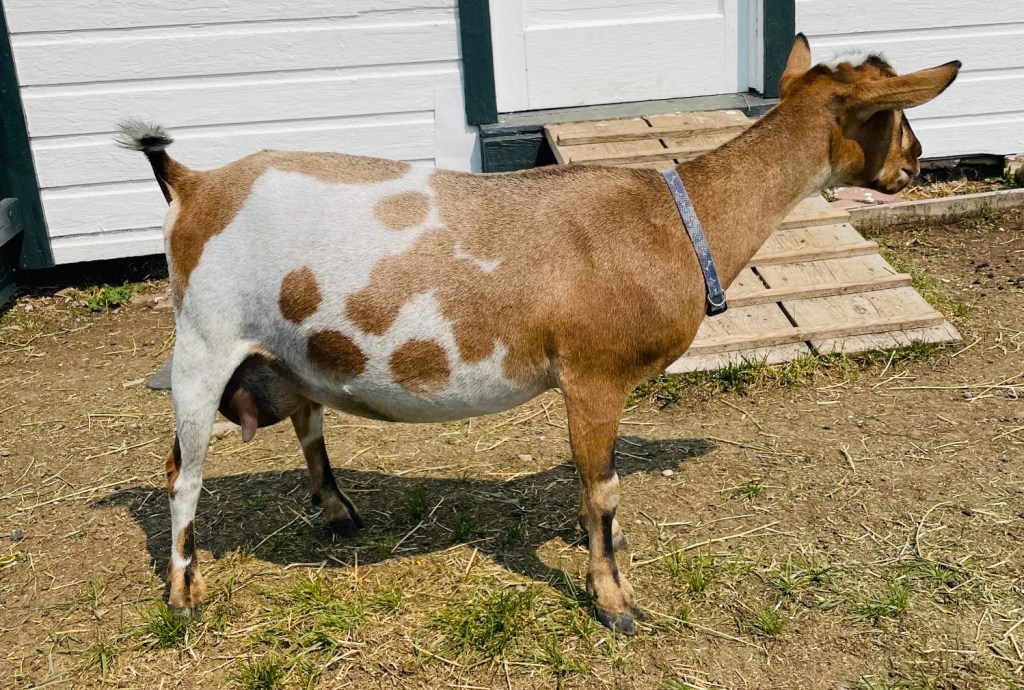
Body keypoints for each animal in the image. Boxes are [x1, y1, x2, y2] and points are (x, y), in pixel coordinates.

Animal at [118, 35, 959, 634]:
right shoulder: (593, 377)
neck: (672, 221)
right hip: (204, 341)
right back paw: (186, 592)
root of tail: (192, 183)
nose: (917, 165)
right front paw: (615, 600)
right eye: (895, 113)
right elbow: (602, 489)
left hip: (285, 354)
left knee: (307, 421)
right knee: (181, 472)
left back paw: (338, 512)